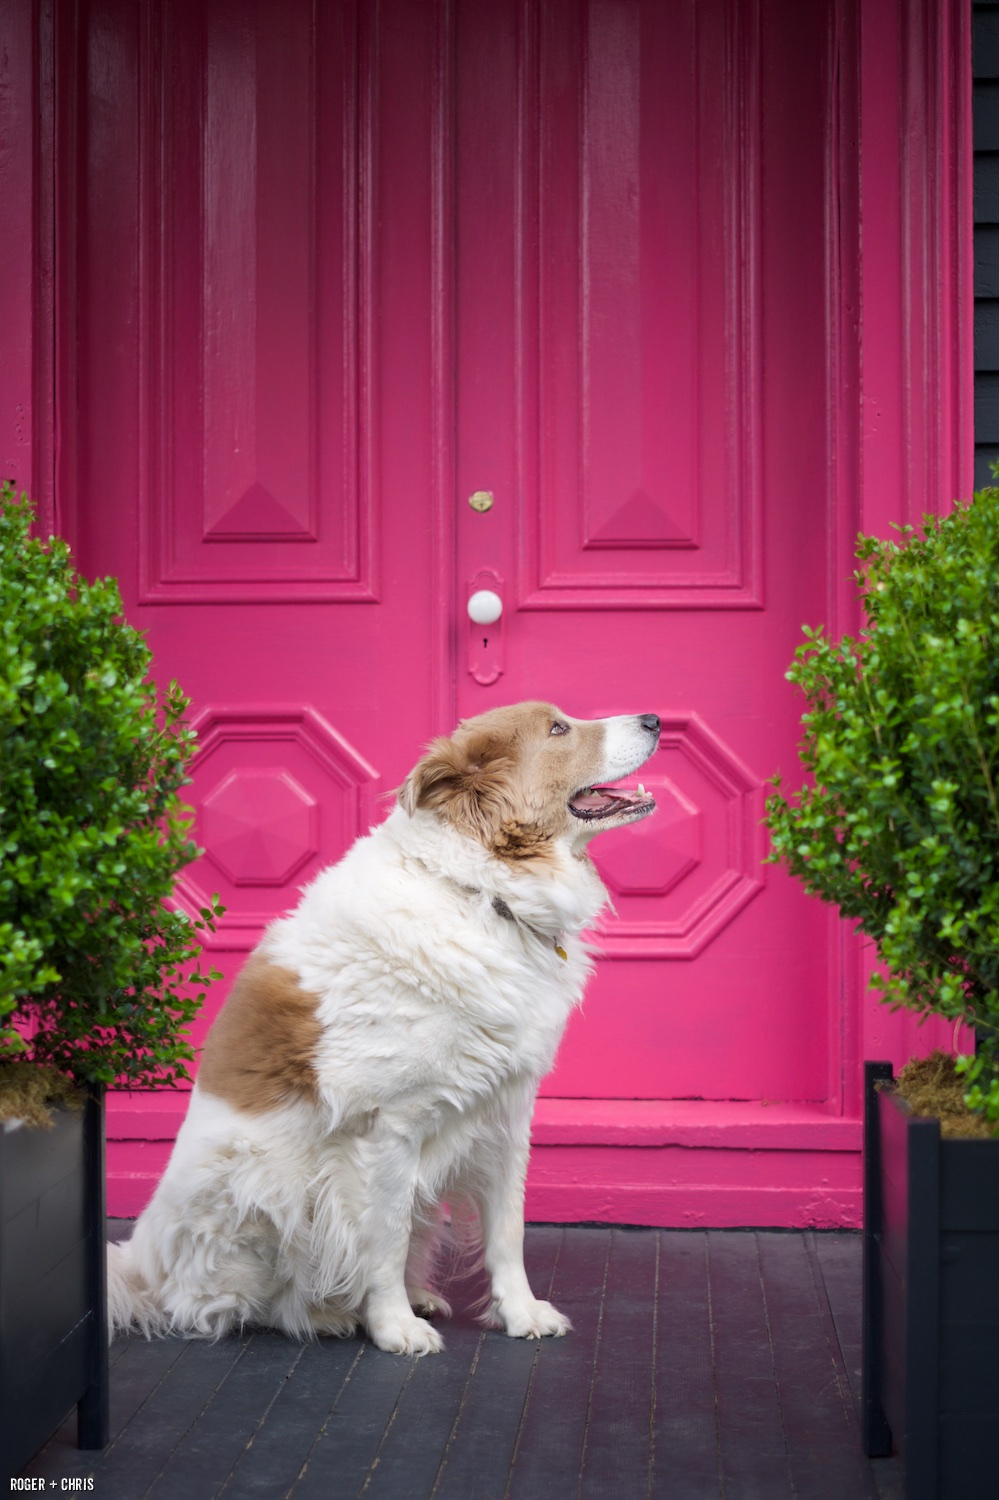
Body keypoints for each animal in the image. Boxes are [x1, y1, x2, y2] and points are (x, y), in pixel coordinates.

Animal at [108, 708, 657, 1356]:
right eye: (558, 730)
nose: (654, 719)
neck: (481, 891)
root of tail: (143, 1266)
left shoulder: (505, 1115)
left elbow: (507, 1233)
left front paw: (520, 1313)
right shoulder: (390, 1127)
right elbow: (385, 1240)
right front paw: (393, 1326)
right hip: (260, 1179)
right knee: (227, 1305)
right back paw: (325, 1314)